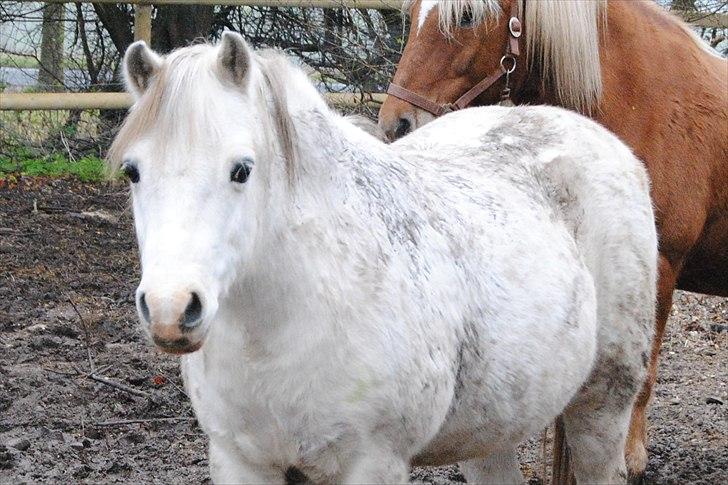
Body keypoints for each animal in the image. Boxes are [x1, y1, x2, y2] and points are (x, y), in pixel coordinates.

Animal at [109, 32, 660, 482]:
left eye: (241, 169)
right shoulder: (240, 461)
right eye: (133, 171)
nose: (171, 308)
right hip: (492, 429)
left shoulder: (371, 461)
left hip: (602, 407)